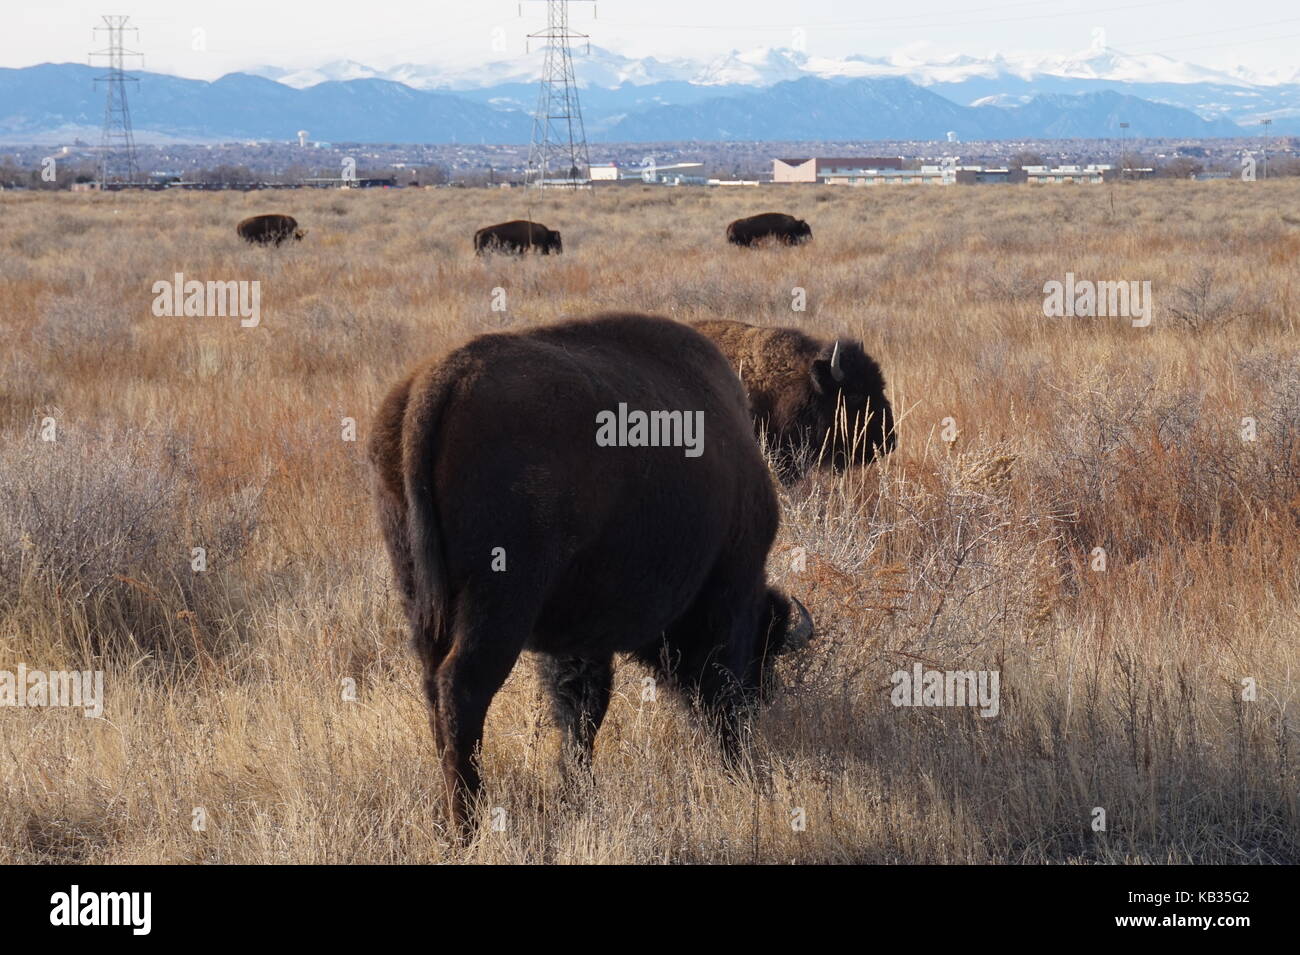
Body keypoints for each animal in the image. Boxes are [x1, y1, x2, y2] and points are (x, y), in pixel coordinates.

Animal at [369, 315, 811, 836]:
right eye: (764, 650)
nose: (763, 700)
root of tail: (438, 385)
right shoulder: (729, 593)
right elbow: (704, 686)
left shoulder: (578, 636)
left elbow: (580, 712)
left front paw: (577, 791)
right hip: (498, 603)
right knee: (462, 689)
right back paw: (468, 826)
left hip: (421, 599)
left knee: (434, 691)